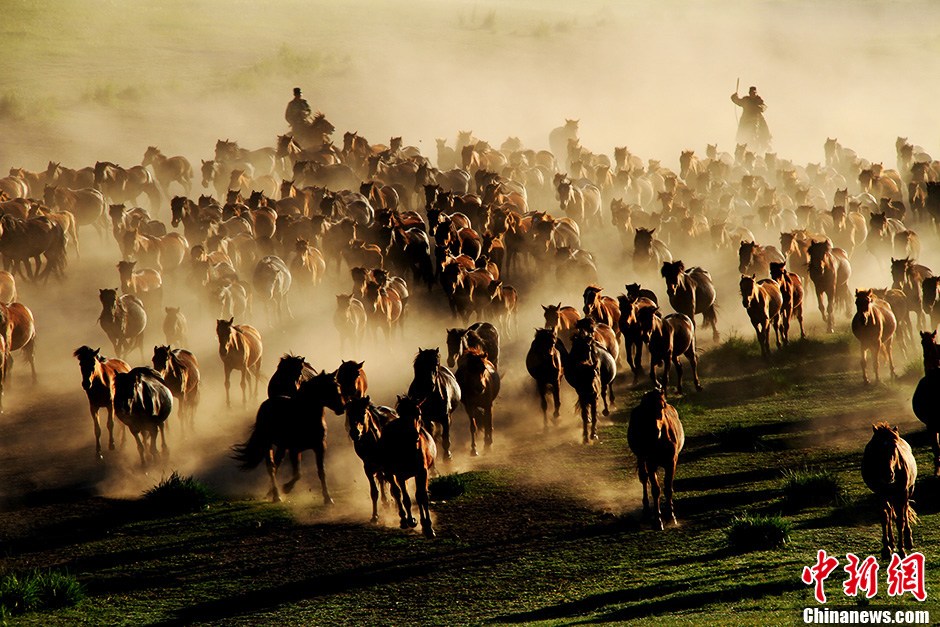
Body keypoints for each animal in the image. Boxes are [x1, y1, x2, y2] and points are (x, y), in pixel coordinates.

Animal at [233, 370, 346, 508]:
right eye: (329, 388)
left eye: (338, 386)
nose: (342, 408)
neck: (306, 416)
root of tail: (265, 405)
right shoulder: (295, 450)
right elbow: (298, 473)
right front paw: (286, 488)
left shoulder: (320, 447)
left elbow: (321, 472)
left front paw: (328, 499)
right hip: (267, 444)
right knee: (271, 467)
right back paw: (277, 495)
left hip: (282, 447)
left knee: (276, 465)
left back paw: (271, 493)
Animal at [384, 398, 438, 540]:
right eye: (402, 415)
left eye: (419, 413)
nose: (414, 435)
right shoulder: (400, 475)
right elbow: (406, 499)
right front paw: (412, 521)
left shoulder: (422, 472)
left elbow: (421, 496)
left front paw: (428, 527)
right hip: (391, 474)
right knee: (397, 493)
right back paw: (404, 520)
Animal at [632, 388, 684, 528]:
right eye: (645, 408)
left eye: (662, 406)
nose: (655, 431)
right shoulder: (651, 463)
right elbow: (655, 490)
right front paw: (658, 520)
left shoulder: (671, 462)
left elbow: (668, 488)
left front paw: (671, 516)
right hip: (641, 458)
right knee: (644, 479)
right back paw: (646, 511)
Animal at [864, 424, 916, 560]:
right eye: (877, 448)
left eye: (894, 446)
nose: (888, 475)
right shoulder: (880, 494)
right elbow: (885, 518)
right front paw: (886, 549)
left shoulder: (902, 493)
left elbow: (900, 520)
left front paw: (902, 550)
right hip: (889, 496)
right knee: (890, 514)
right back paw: (891, 543)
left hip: (907, 491)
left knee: (904, 511)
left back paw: (908, 540)